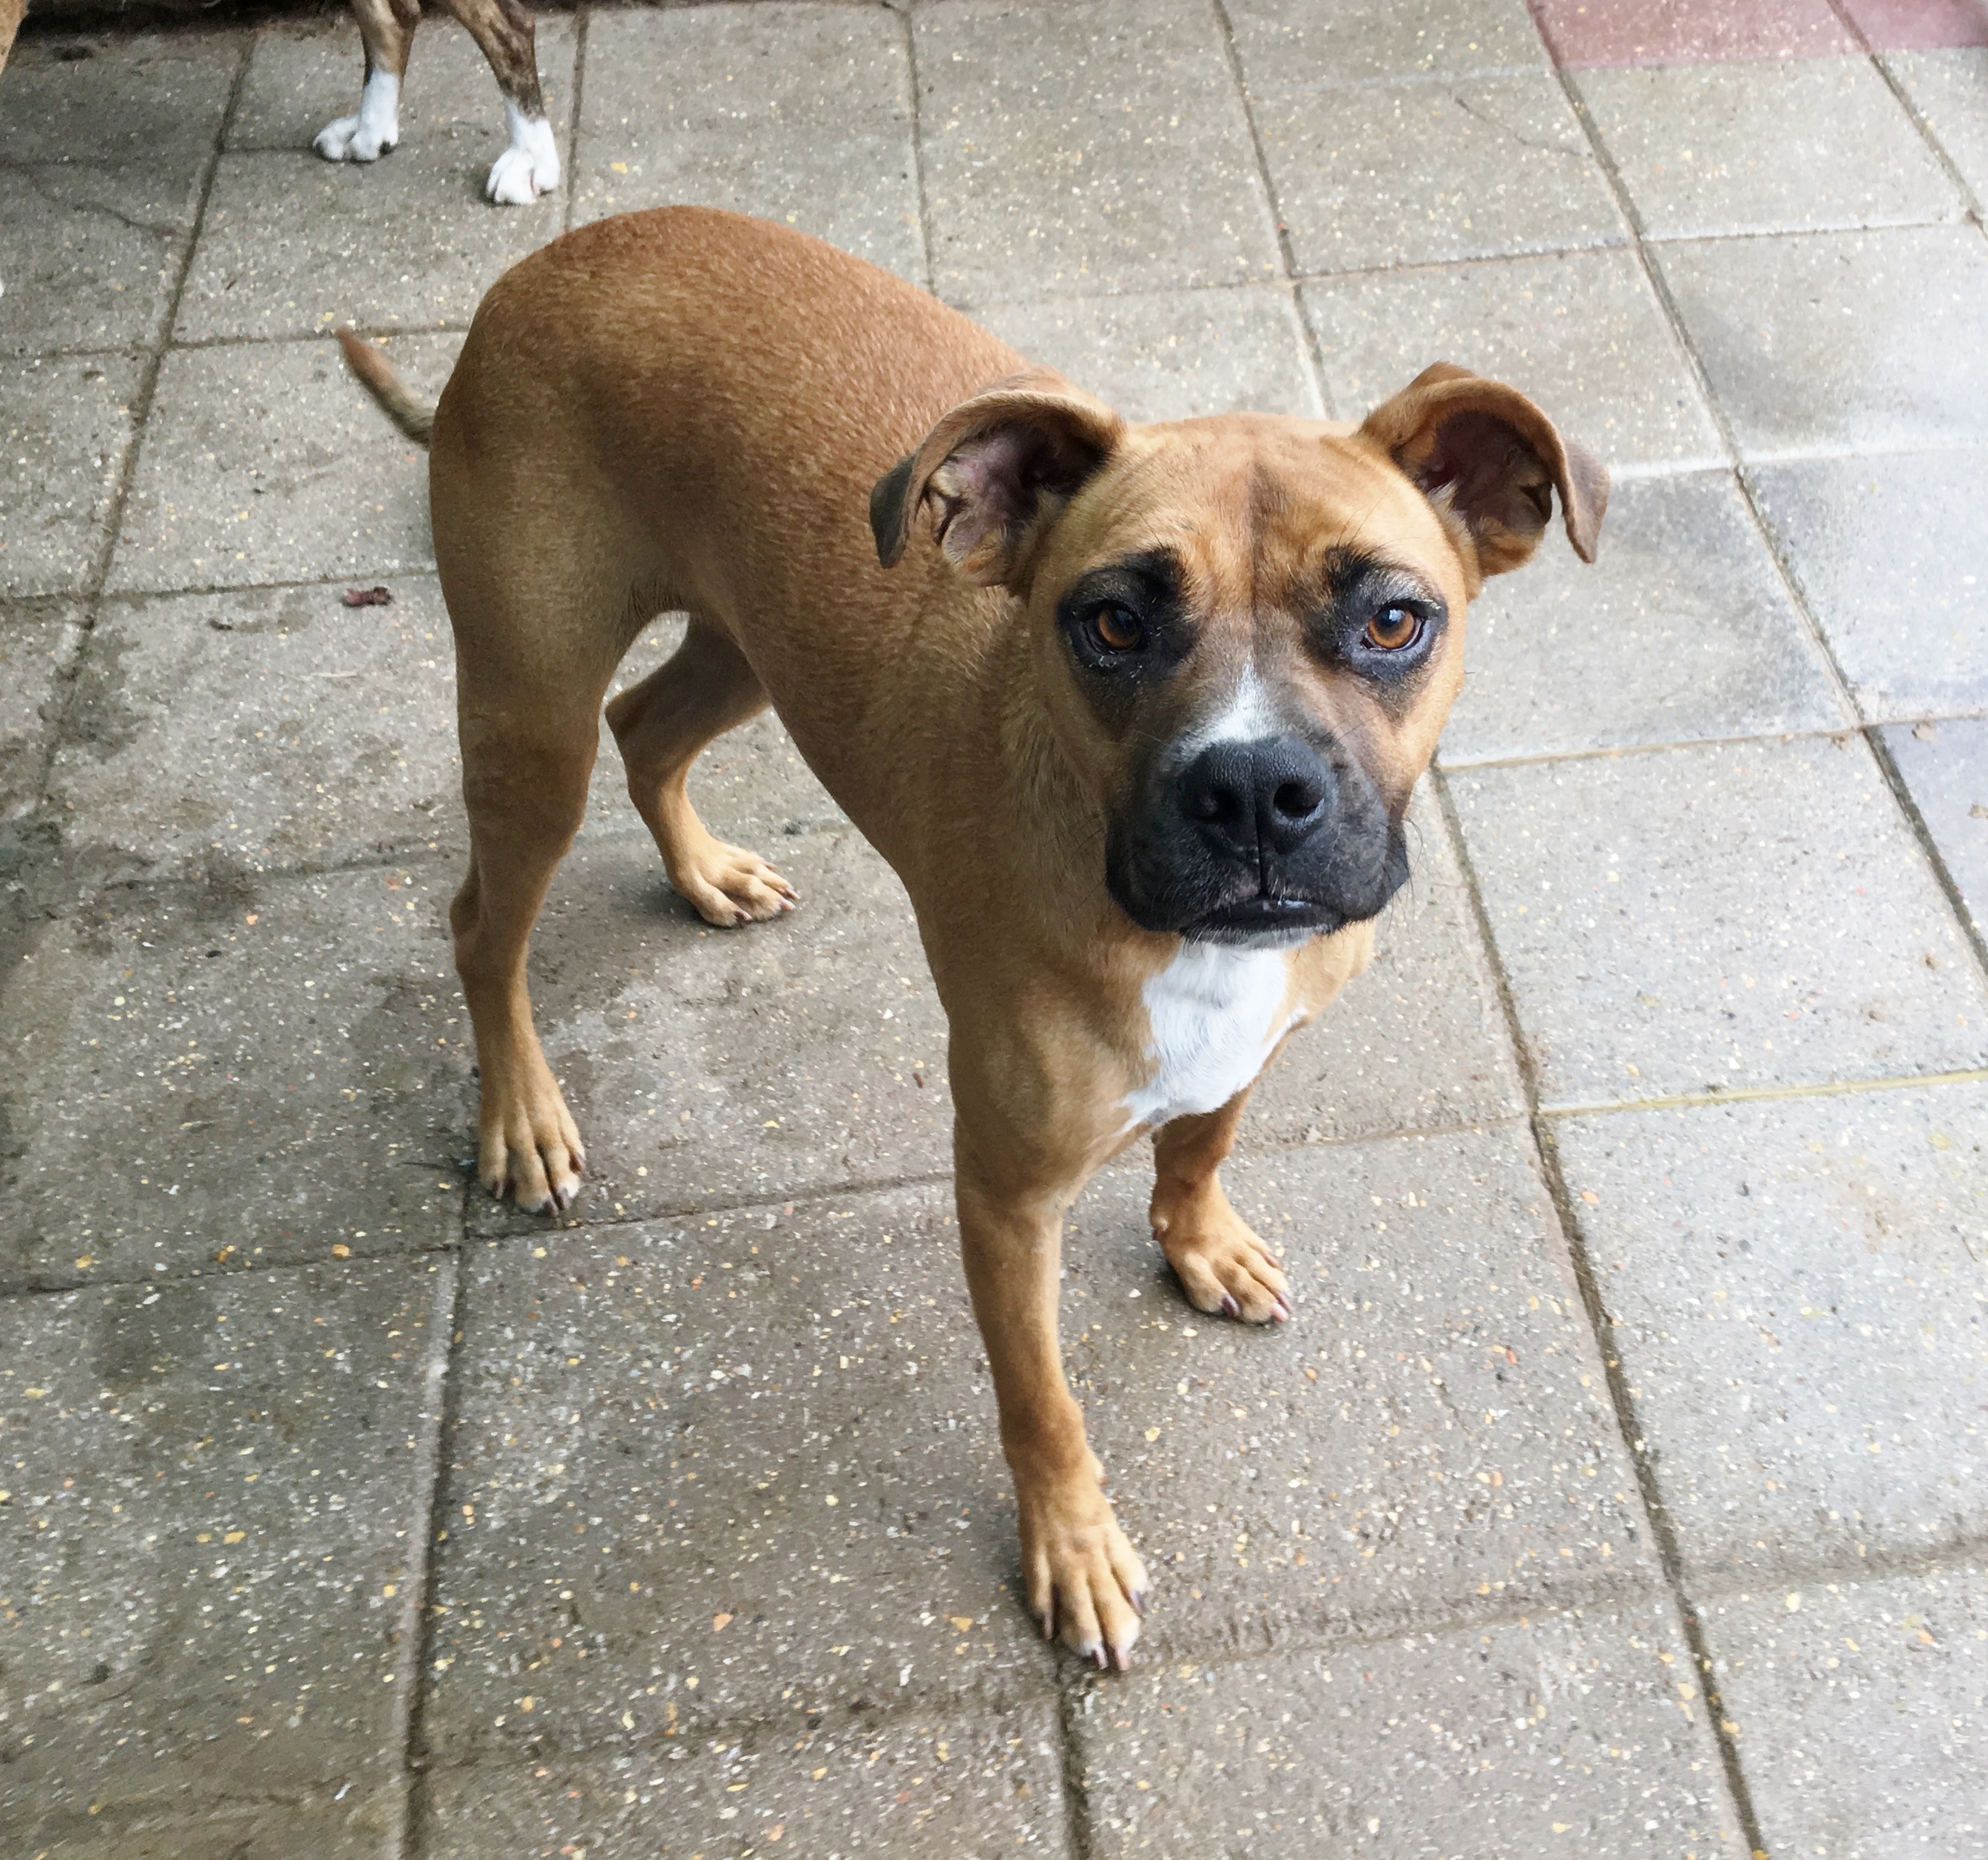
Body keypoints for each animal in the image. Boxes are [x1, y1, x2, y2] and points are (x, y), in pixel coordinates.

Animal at [342, 206, 1606, 1669]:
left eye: (1394, 618)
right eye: (1111, 620)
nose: (1250, 790)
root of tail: (546, 264)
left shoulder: (1251, 1040)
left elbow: (1199, 1141)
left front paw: (1199, 1241)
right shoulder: (1005, 1196)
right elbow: (1042, 1401)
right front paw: (1072, 1548)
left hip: (742, 643)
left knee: (646, 728)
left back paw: (704, 874)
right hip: (529, 718)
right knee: (481, 926)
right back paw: (524, 1118)